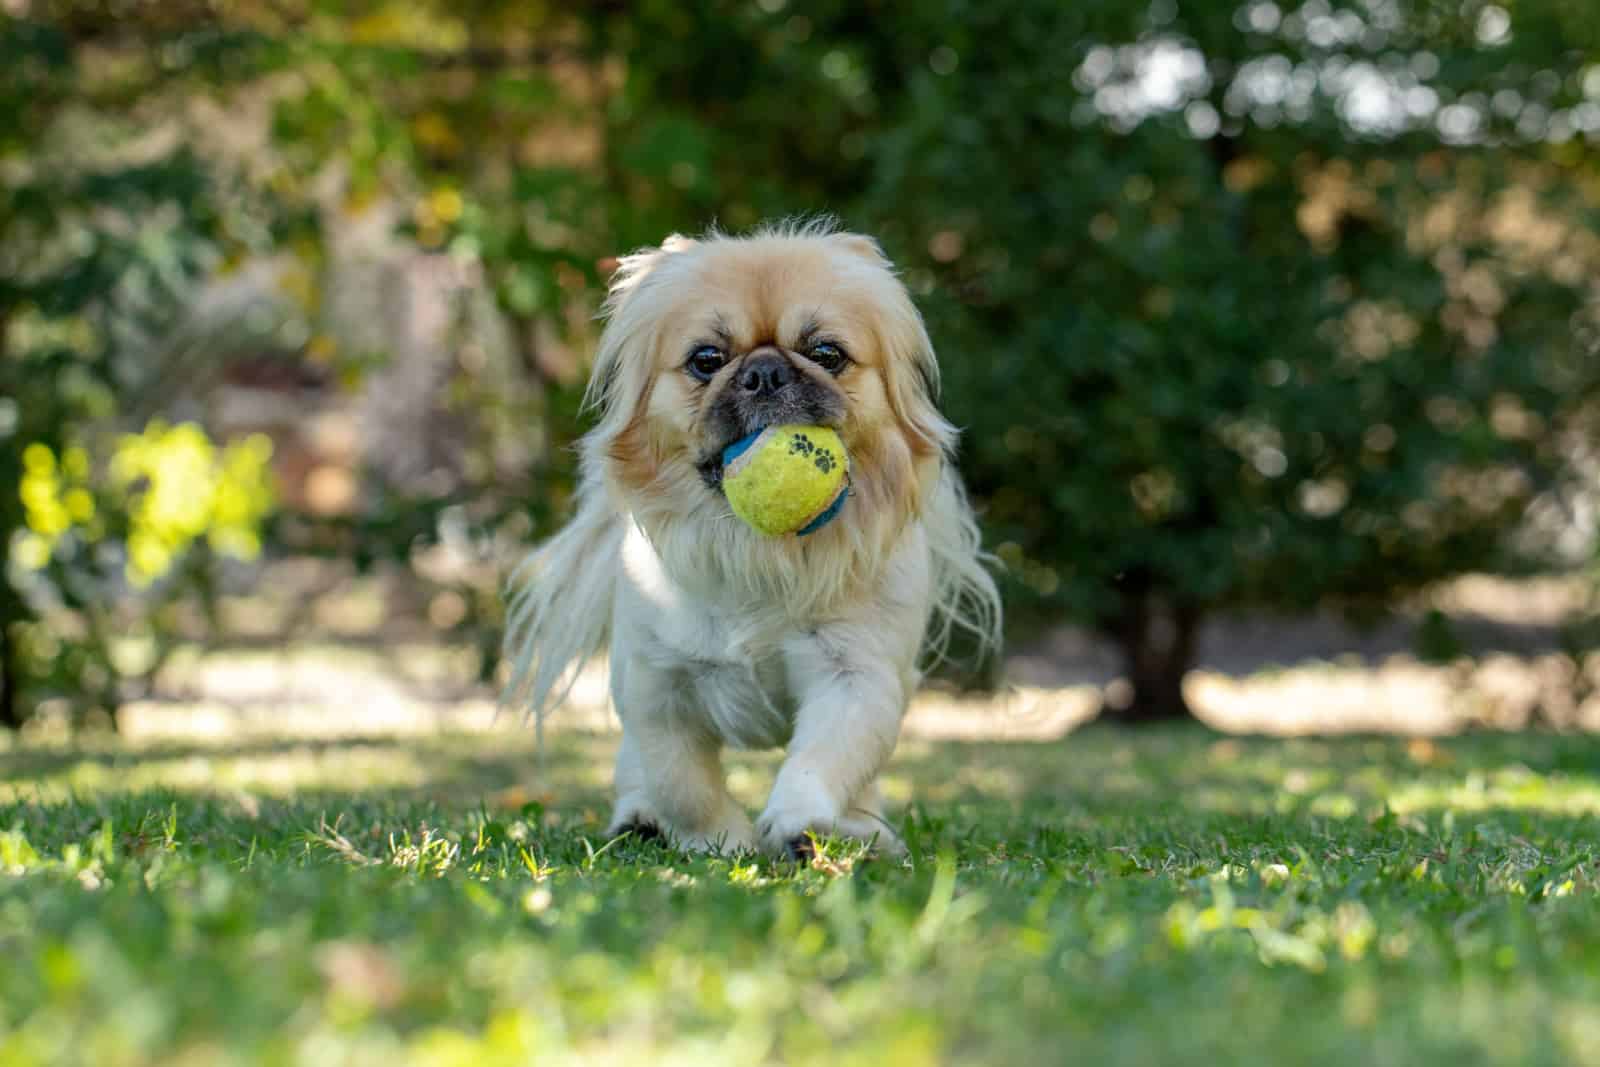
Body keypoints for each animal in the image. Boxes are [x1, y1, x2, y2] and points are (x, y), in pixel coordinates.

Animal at [502, 219, 998, 857]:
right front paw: (722, 843)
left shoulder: (856, 678)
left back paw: (863, 833)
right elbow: (682, 785)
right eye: (706, 359)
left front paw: (797, 824)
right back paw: (639, 819)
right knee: (635, 769)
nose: (764, 373)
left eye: (826, 354)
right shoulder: (656, 689)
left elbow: (823, 762)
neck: (758, 553)